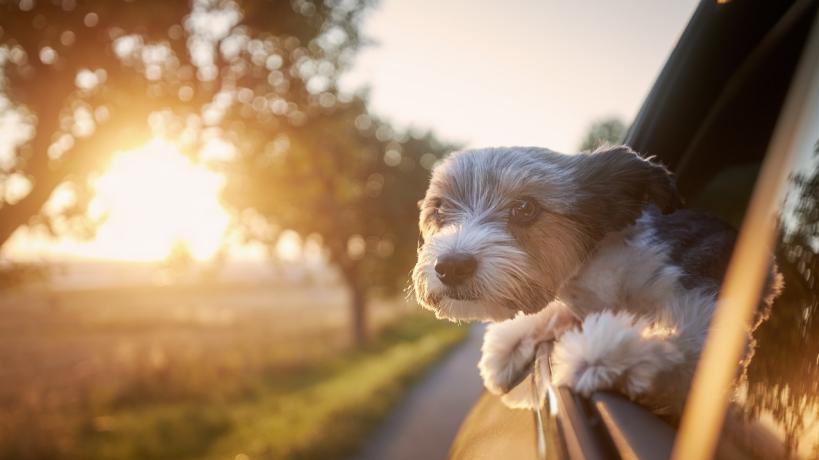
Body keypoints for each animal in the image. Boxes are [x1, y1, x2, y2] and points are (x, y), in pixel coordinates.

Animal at [414, 146, 780, 416]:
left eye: (525, 207)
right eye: (440, 209)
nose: (450, 266)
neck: (607, 267)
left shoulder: (707, 306)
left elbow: (682, 343)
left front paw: (599, 353)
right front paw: (509, 342)